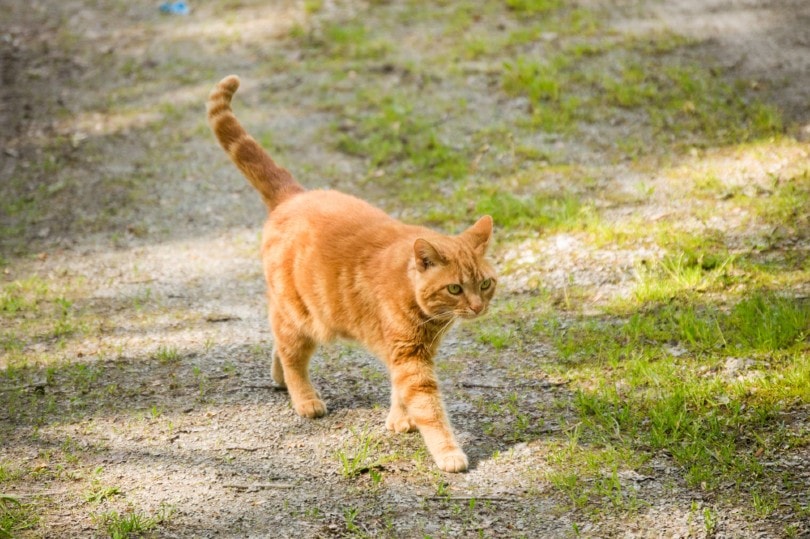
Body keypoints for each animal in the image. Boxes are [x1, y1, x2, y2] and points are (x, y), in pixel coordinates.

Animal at [205, 75, 496, 472]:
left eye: (485, 284)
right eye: (455, 289)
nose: (478, 307)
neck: (428, 314)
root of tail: (294, 195)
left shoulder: (406, 354)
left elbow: (399, 392)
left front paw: (398, 420)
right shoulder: (411, 357)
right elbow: (429, 408)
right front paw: (448, 453)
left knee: (278, 343)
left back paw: (279, 379)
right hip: (303, 317)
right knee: (292, 354)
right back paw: (304, 399)